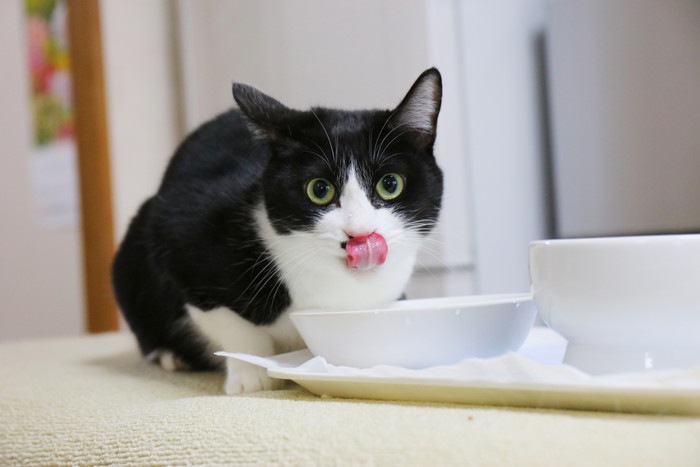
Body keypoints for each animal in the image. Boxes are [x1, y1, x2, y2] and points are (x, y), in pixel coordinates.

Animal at [113, 66, 446, 394]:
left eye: (390, 184)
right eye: (319, 189)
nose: (359, 233)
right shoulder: (177, 232)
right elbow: (231, 324)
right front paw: (251, 373)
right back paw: (171, 356)